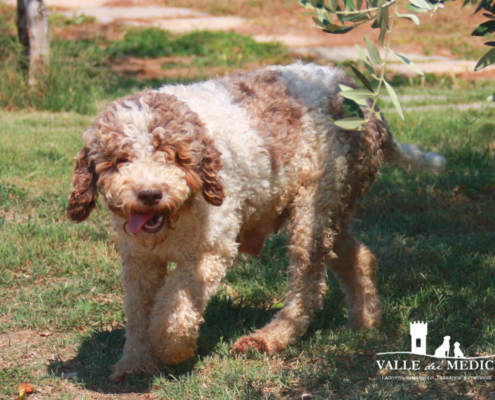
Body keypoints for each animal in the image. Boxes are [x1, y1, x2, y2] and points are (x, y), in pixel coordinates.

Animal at [67, 63, 446, 382]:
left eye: (173, 155)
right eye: (119, 160)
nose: (149, 194)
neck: (179, 214)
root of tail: (367, 102)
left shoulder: (210, 252)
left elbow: (173, 307)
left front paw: (174, 349)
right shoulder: (139, 261)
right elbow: (138, 313)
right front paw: (135, 362)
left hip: (315, 205)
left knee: (308, 286)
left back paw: (269, 338)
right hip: (335, 205)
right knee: (359, 257)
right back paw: (364, 322)